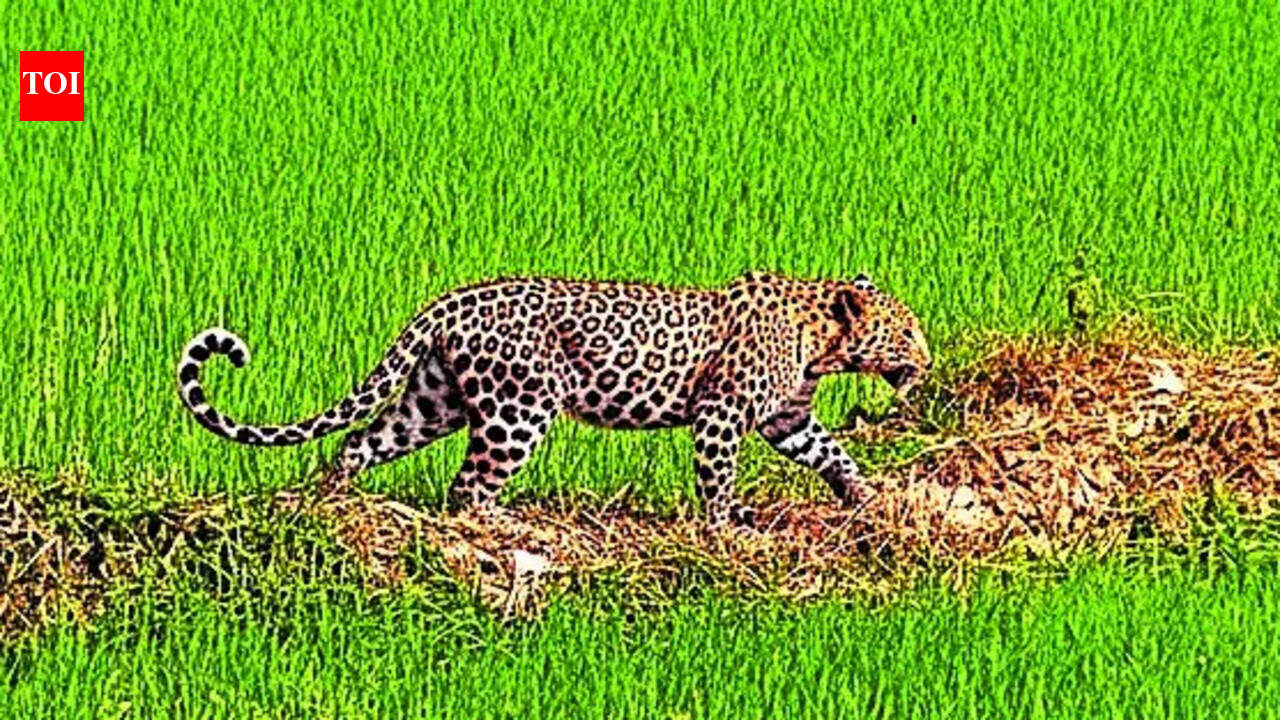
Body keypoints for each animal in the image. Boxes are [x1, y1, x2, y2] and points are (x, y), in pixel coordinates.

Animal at [176, 271, 932, 527]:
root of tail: (450, 299)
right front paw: (725, 528)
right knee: (468, 485)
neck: (821, 341)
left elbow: (829, 451)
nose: (926, 362)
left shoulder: (786, 417)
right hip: (517, 410)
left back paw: (332, 500)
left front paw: (864, 498)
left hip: (436, 400)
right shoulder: (721, 416)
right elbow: (717, 478)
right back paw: (499, 525)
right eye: (904, 331)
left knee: (362, 440)